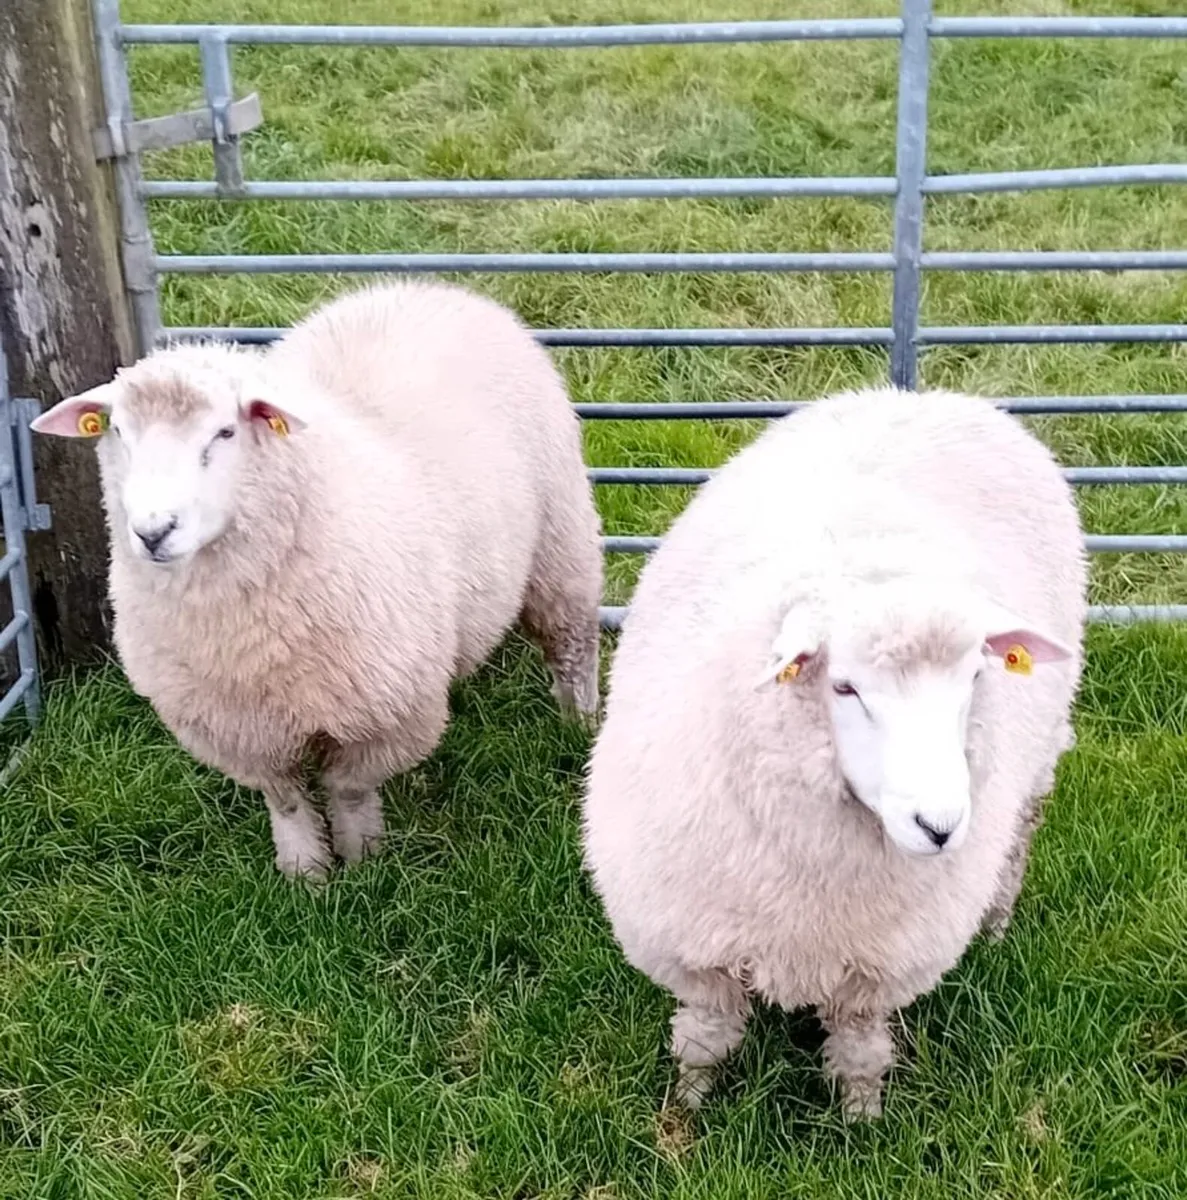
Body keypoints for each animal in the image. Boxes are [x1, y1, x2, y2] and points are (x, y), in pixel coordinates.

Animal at [32, 280, 603, 880]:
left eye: (225, 432)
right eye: (117, 431)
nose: (152, 531)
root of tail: (426, 286)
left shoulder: (384, 712)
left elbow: (348, 790)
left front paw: (362, 862)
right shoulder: (237, 728)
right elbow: (285, 801)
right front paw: (305, 874)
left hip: (562, 538)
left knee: (572, 641)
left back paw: (578, 724)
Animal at [581, 386, 1087, 1120]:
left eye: (974, 677)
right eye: (844, 686)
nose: (938, 827)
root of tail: (924, 396)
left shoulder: (875, 969)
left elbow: (858, 1050)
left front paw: (861, 1122)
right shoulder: (695, 948)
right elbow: (705, 1037)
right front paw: (688, 1110)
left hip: (1040, 758)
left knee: (1021, 834)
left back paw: (994, 924)